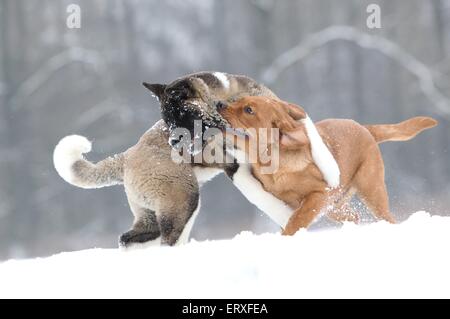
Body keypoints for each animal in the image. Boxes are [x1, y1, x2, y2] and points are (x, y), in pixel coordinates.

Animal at [220, 96, 438, 236]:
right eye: (239, 99)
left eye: (249, 110)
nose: (220, 103)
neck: (271, 160)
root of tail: (365, 128)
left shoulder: (319, 195)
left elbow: (297, 219)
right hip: (336, 206)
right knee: (354, 216)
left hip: (371, 192)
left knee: (387, 217)